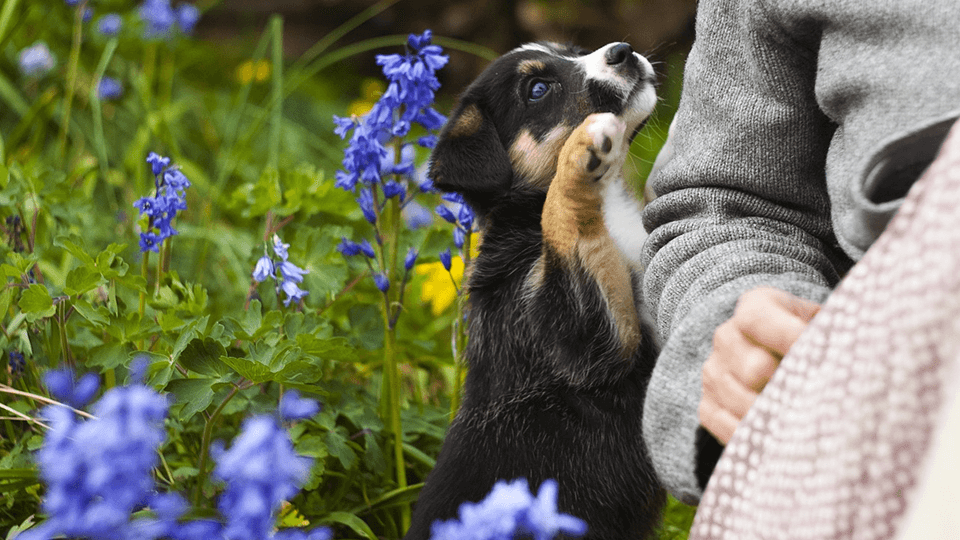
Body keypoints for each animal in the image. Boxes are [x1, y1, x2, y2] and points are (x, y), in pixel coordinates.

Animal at [404, 42, 668, 540]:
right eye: (538, 89)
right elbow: (562, 220)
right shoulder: (584, 341)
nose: (622, 52)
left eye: (572, 52)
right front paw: (581, 151)